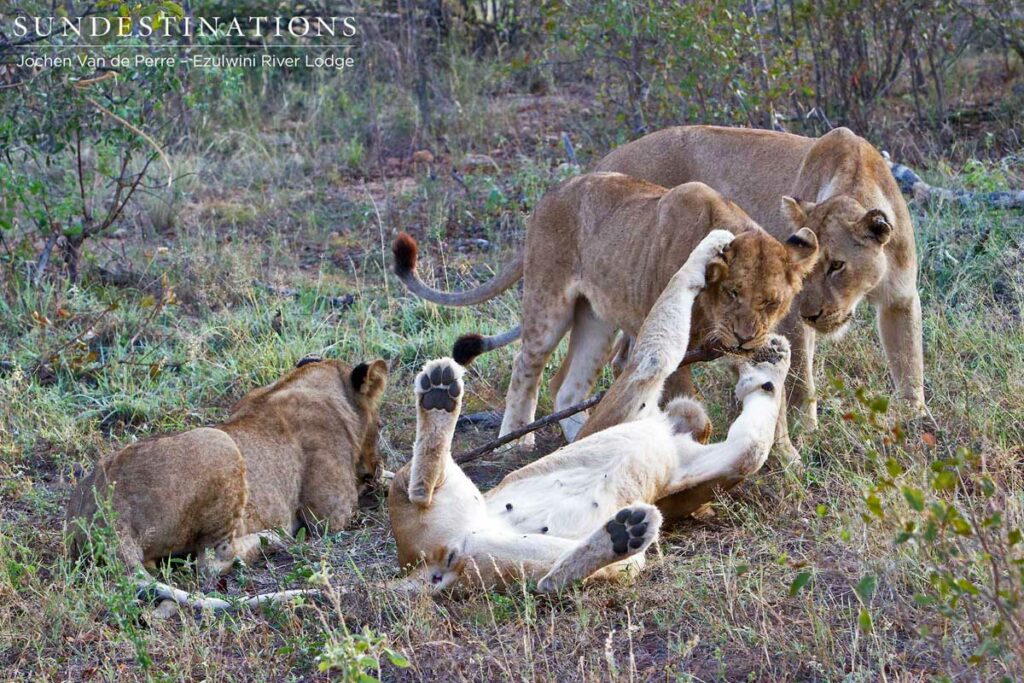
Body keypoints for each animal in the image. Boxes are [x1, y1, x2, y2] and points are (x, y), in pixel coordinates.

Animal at [66, 356, 388, 613]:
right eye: (381, 425)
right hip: (221, 443)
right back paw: (273, 537)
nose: (377, 464)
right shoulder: (329, 515)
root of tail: (107, 514)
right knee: (210, 561)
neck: (304, 383)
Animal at [388, 231, 792, 593]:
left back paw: (622, 534)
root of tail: (430, 564)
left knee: (548, 582)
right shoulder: (630, 397)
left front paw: (772, 363)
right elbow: (665, 333)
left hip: (518, 556)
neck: (672, 433)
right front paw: (713, 244)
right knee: (418, 484)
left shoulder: (687, 463)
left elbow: (751, 448)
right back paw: (439, 394)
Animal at [393, 174, 817, 454]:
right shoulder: (686, 349)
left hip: (597, 324)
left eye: (772, 302)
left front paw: (788, 458)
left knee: (569, 389)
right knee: (525, 367)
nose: (746, 337)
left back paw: (587, 437)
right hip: (548, 306)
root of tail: (549, 196)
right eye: (733, 293)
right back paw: (516, 438)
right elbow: (690, 401)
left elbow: (773, 399)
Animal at [594, 125, 926, 457]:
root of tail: (605, 160)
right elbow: (801, 378)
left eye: (837, 266)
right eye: (808, 270)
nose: (811, 314)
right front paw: (807, 431)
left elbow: (908, 359)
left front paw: (915, 419)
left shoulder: (901, 298)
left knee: (626, 358)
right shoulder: (789, 316)